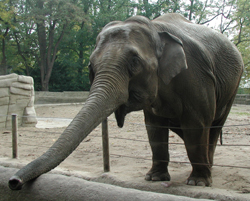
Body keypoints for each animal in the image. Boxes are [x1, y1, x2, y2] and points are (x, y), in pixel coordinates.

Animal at [9, 12, 242, 190]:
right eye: (90, 66)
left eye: (135, 62)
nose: (14, 182)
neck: (155, 27)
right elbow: (154, 129)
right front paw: (153, 178)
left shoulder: (195, 77)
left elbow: (196, 126)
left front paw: (197, 183)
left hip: (233, 86)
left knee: (213, 126)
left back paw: (207, 170)